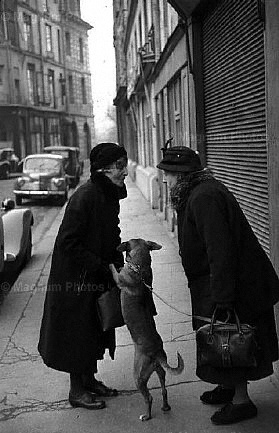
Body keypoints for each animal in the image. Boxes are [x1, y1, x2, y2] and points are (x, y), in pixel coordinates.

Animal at [110, 238, 186, 420]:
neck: (139, 269)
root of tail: (156, 353)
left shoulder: (119, 278)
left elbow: (114, 270)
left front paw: (111, 264)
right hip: (159, 371)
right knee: (164, 389)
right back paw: (165, 406)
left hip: (138, 376)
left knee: (149, 397)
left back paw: (147, 415)